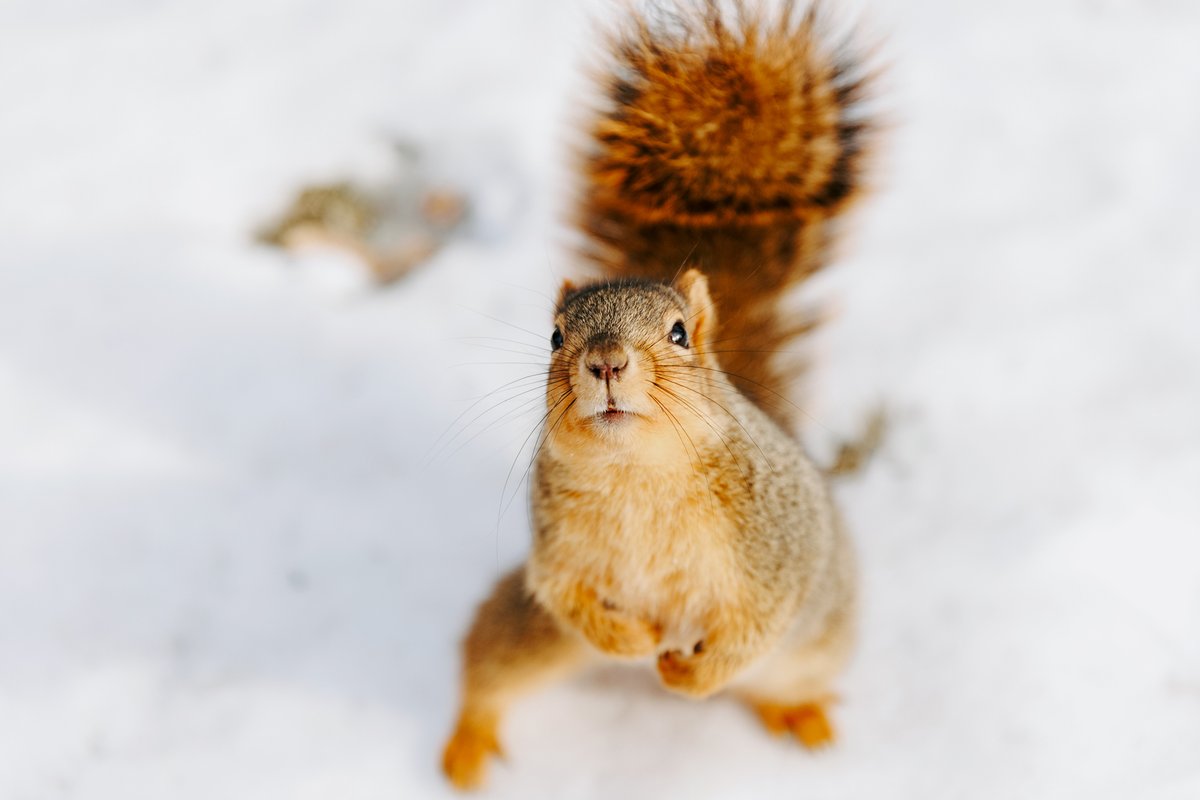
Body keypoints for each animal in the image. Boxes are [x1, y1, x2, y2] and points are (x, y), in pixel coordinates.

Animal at [442, 0, 874, 789]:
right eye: (555, 336)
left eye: (677, 333)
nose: (606, 362)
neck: (636, 470)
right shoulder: (556, 559)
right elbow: (570, 596)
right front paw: (637, 638)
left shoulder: (774, 557)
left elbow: (754, 626)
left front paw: (683, 674)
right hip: (530, 634)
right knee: (488, 665)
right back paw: (468, 742)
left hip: (813, 648)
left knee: (777, 679)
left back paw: (800, 716)